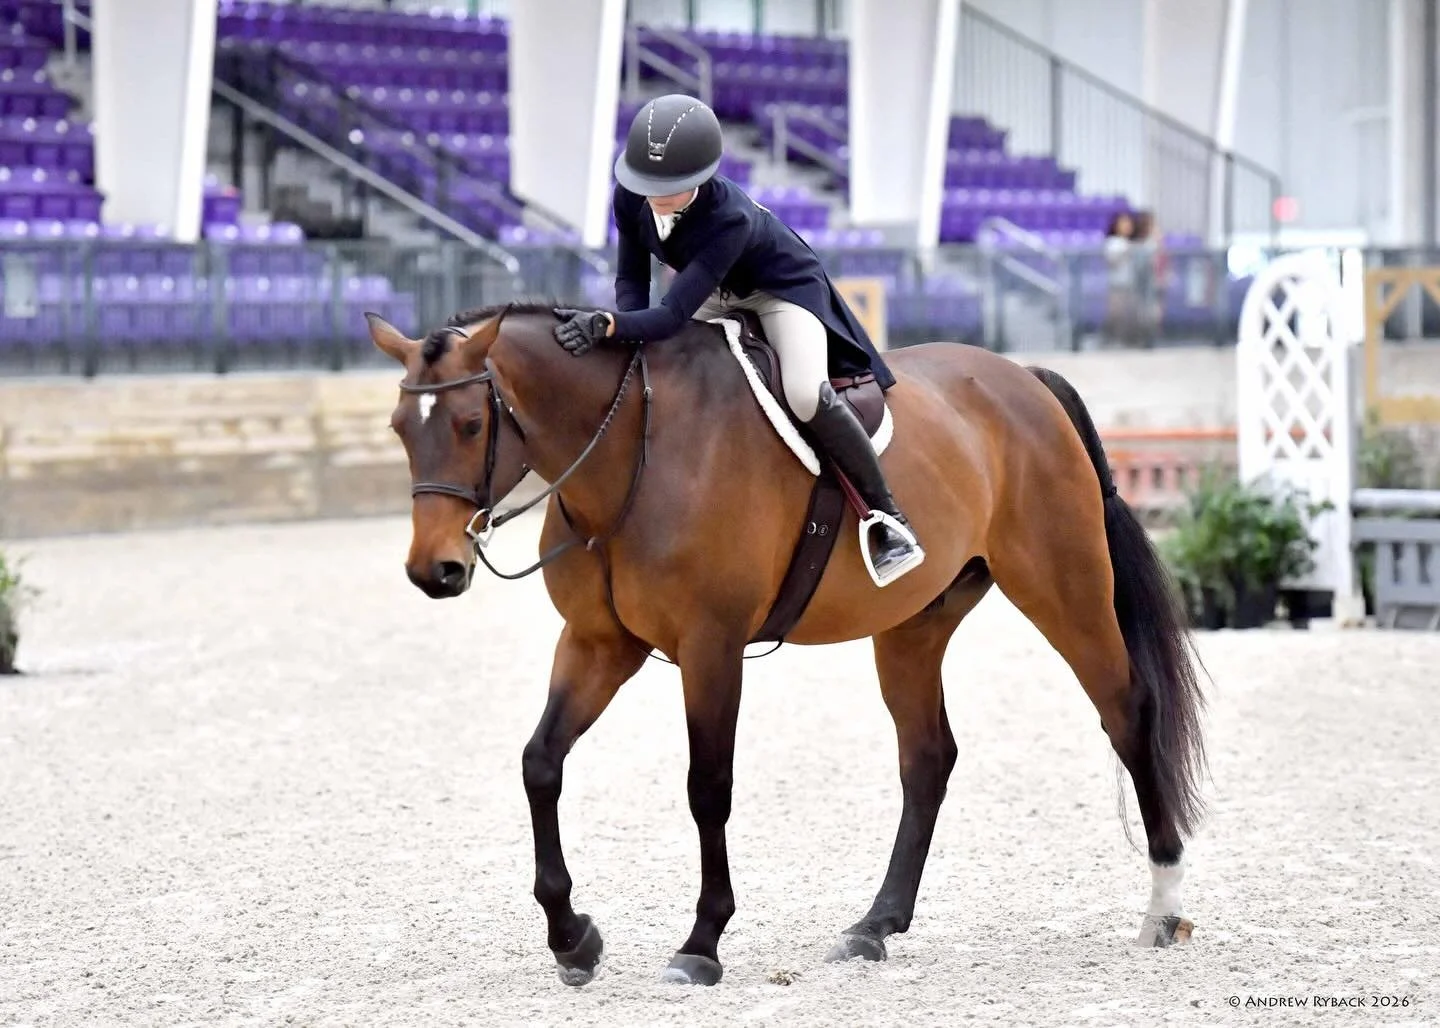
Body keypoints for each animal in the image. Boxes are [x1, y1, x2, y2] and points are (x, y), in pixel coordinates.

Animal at [364, 302, 1209, 987]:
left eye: (471, 426)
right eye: (401, 430)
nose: (434, 571)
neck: (630, 451)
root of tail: (1024, 379)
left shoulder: (710, 647)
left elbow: (708, 789)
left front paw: (700, 945)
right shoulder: (598, 644)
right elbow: (541, 764)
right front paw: (573, 940)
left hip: (1063, 589)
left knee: (1127, 711)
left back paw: (1164, 907)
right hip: (913, 626)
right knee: (927, 758)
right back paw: (873, 927)